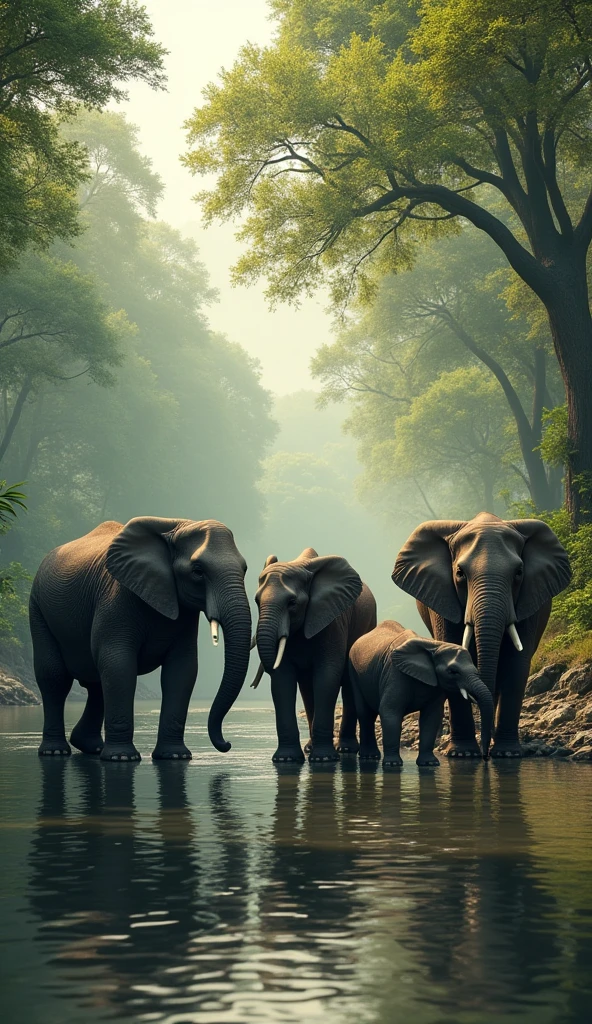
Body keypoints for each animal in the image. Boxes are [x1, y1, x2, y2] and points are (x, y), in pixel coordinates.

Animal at [29, 516, 252, 761]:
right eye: (198, 571)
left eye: (244, 569)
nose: (227, 744)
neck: (176, 526)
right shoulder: (116, 599)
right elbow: (118, 664)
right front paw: (122, 758)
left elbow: (182, 670)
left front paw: (175, 756)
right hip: (38, 608)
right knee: (54, 677)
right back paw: (55, 751)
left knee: (96, 683)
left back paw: (91, 747)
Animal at [252, 547, 377, 762]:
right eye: (257, 601)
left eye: (292, 602)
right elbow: (282, 679)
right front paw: (286, 760)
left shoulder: (332, 620)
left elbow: (327, 675)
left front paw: (324, 759)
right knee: (307, 690)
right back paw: (310, 748)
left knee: (347, 685)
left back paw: (345, 750)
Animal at [349, 620, 494, 767]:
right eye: (453, 671)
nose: (486, 757)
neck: (434, 645)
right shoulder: (394, 673)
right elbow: (390, 711)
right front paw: (393, 764)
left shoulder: (437, 684)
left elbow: (432, 716)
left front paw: (430, 763)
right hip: (354, 673)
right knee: (365, 714)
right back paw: (370, 756)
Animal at [392, 512, 571, 758]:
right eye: (459, 574)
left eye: (519, 573)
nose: (485, 755)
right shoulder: (442, 599)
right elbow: (451, 650)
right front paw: (463, 754)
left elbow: (516, 663)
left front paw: (507, 754)